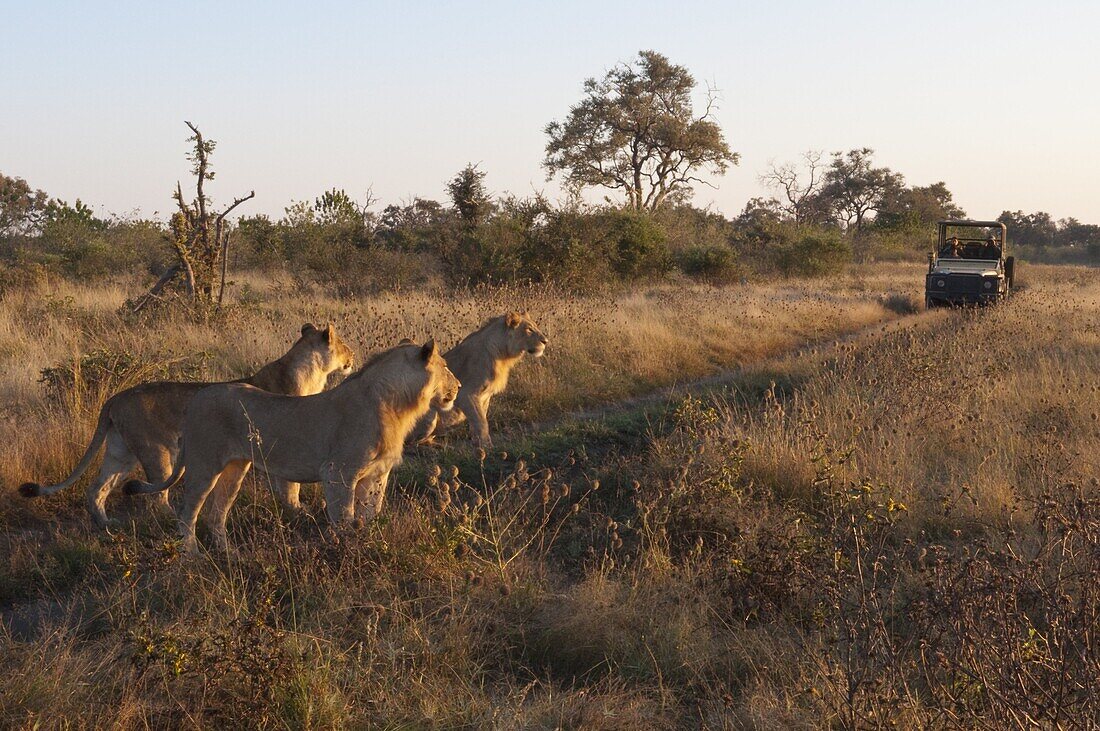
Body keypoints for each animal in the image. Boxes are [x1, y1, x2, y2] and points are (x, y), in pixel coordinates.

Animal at [18, 323, 352, 525]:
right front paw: (302, 513)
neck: (311, 373)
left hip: (121, 452)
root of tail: (115, 397)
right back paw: (171, 522)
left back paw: (107, 526)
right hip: (157, 452)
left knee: (95, 489)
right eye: (346, 346)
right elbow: (290, 487)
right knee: (155, 496)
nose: (353, 356)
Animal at [124, 338, 459, 549]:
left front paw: (371, 543)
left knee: (216, 514)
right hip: (204, 467)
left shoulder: (377, 474)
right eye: (445, 366)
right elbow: (344, 519)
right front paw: (349, 552)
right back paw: (192, 556)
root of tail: (198, 398)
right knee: (187, 514)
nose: (457, 386)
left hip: (235, 469)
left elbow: (370, 515)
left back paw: (229, 554)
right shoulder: (338, 472)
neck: (397, 404)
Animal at [411, 309, 547, 448]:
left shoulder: (485, 396)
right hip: (430, 416)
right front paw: (487, 446)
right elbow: (481, 422)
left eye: (535, 326)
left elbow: (480, 419)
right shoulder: (466, 393)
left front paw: (477, 443)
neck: (502, 355)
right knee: (413, 443)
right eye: (529, 329)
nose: (545, 341)